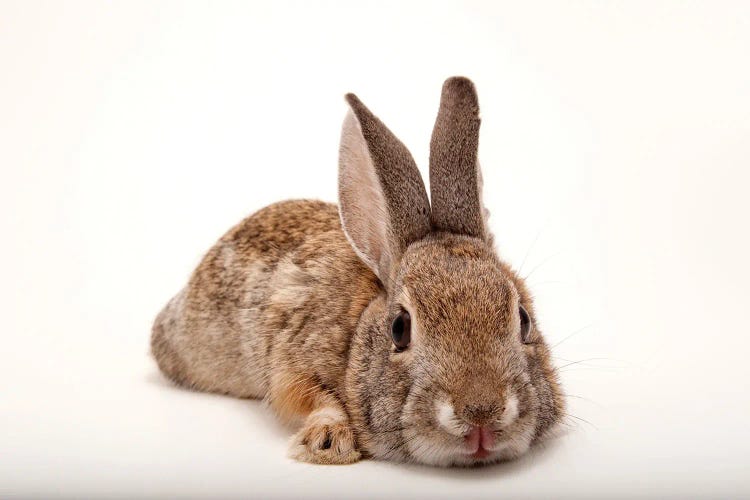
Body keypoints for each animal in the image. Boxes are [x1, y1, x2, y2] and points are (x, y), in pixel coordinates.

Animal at [151, 77, 564, 464]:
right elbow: (311, 398)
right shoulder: (292, 361)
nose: (482, 416)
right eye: (399, 329)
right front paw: (327, 444)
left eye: (524, 320)